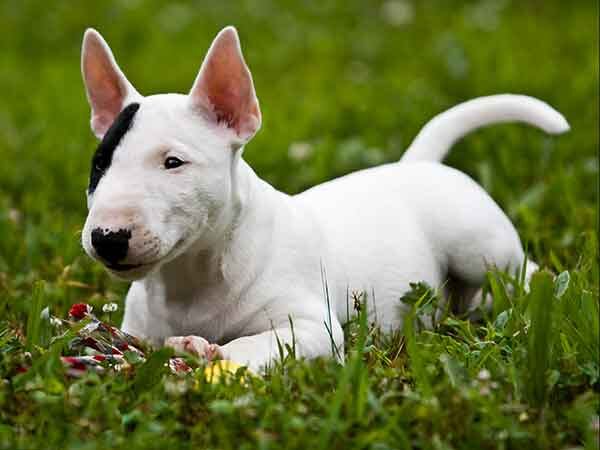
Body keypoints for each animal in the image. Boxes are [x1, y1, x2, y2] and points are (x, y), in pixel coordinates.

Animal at [78, 24, 568, 370]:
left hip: (478, 246)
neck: (191, 276)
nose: (107, 238)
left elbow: (261, 342)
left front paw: (209, 352)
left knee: (522, 272)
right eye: (100, 165)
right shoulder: (137, 331)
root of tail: (417, 162)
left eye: (173, 162)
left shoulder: (312, 326)